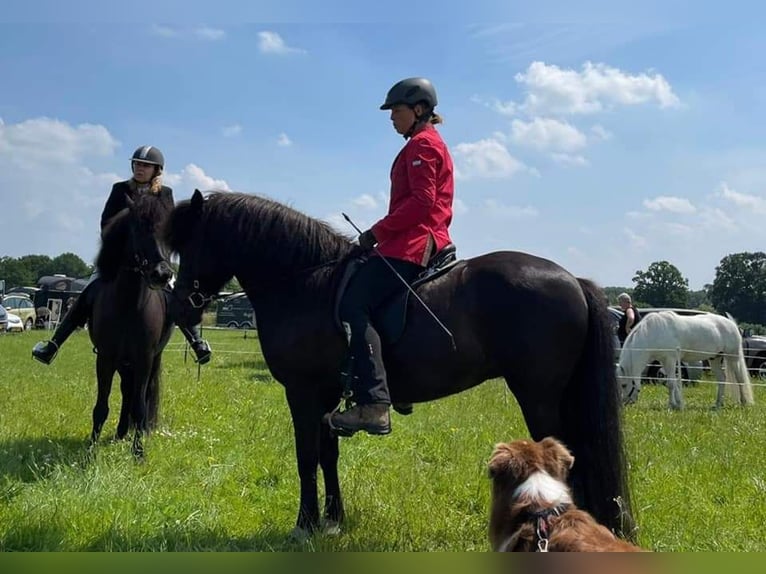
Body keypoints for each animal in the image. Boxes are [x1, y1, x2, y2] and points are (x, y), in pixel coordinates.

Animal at [90, 194, 176, 460]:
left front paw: (138, 453)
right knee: (126, 390)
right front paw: (90, 452)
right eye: (138, 228)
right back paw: (120, 431)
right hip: (123, 362)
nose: (162, 274)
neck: (128, 303)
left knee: (138, 394)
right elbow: (101, 406)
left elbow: (140, 407)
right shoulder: (106, 358)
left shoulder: (145, 358)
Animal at [165, 189, 632, 540]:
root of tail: (573, 279)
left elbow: (306, 456)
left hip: (538, 396)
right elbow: (328, 454)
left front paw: (305, 524)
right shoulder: (327, 397)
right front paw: (332, 521)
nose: (179, 305)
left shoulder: (302, 392)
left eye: (191, 244)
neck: (305, 281)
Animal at [616, 312, 756, 412]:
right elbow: (673, 383)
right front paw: (678, 404)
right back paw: (717, 404)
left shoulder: (671, 359)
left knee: (740, 379)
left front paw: (672, 405)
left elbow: (671, 383)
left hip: (733, 357)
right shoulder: (664, 361)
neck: (653, 332)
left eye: (623, 385)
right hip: (715, 359)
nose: (625, 402)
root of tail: (732, 324)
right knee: (722, 379)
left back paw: (743, 402)